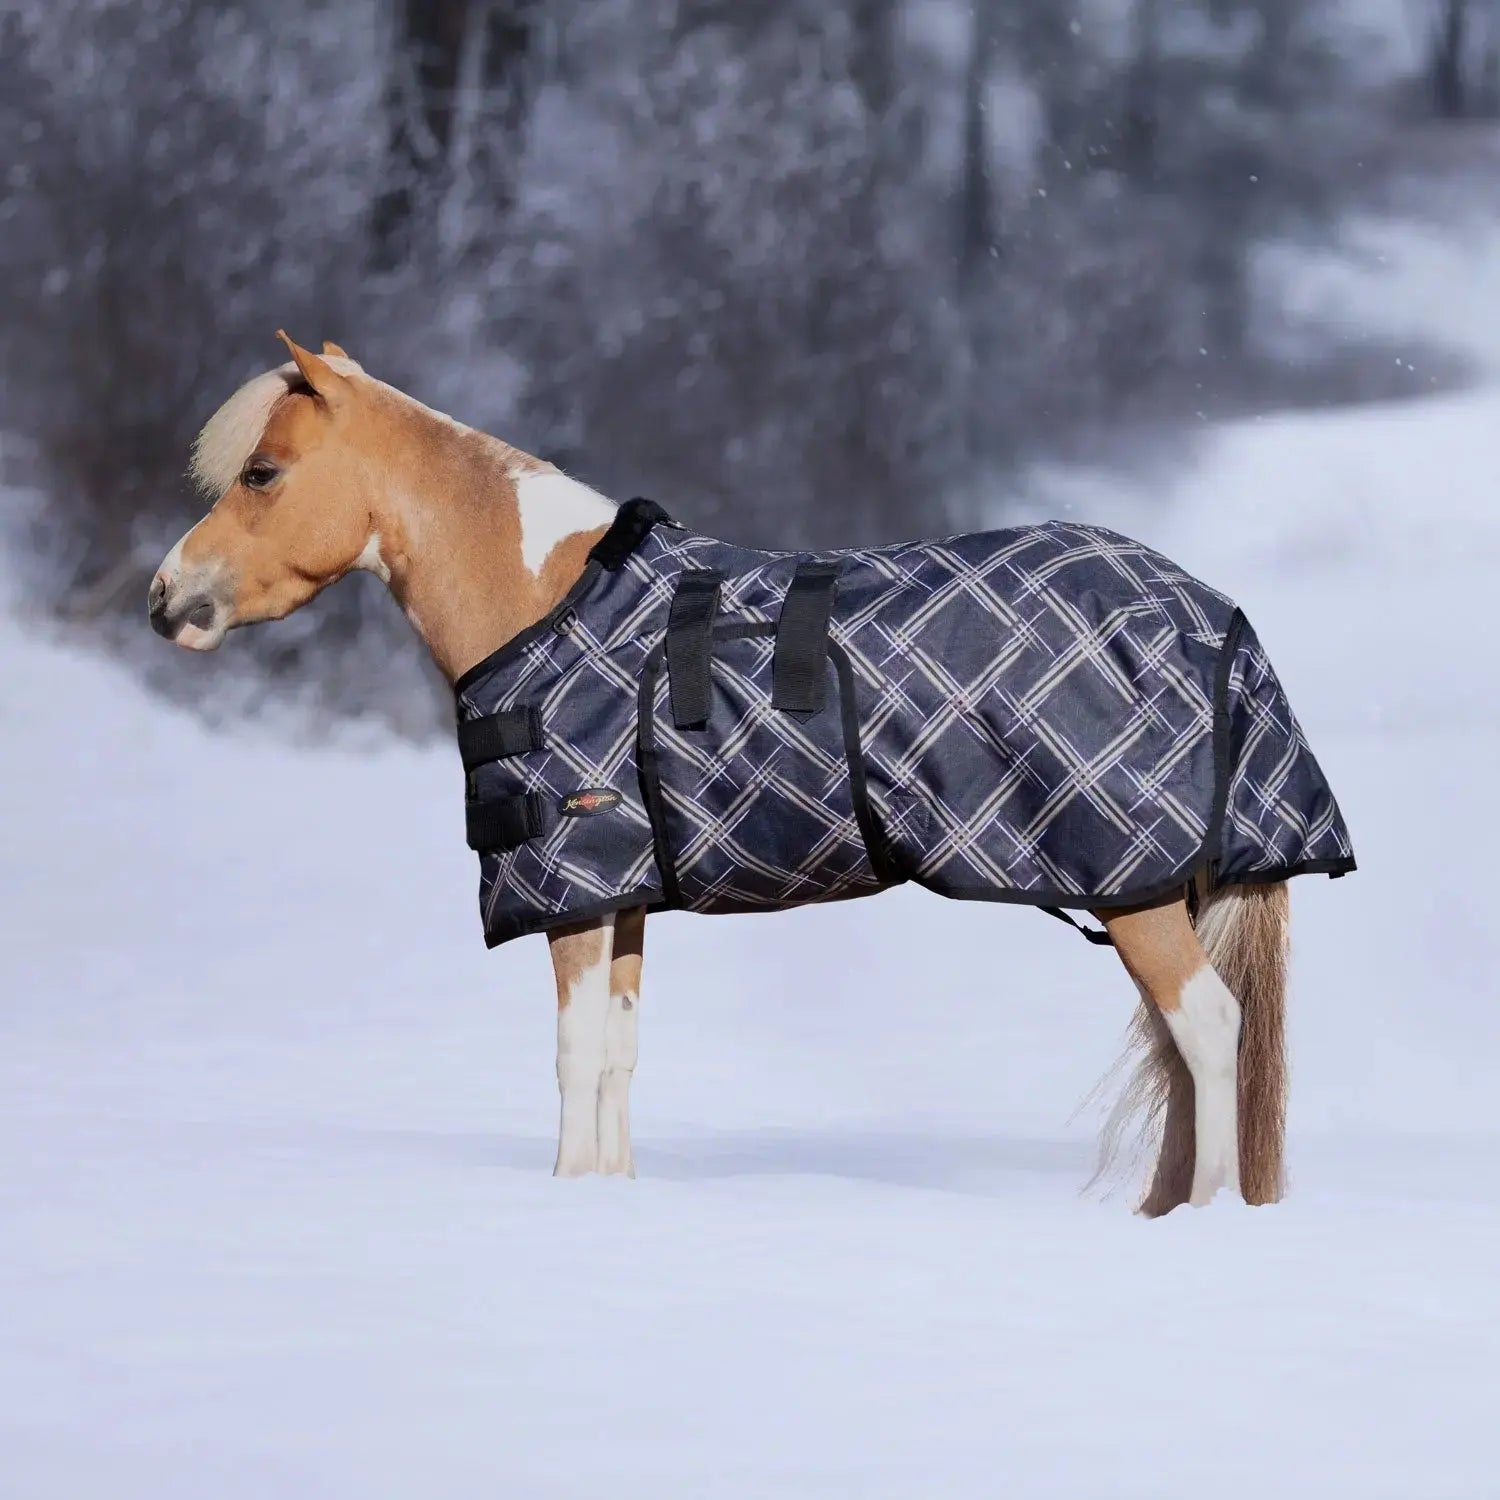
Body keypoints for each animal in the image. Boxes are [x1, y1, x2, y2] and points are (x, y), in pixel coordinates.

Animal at [148, 333, 1353, 1214]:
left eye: (262, 473)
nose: (165, 598)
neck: (548, 601)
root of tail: (1213, 616)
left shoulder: (574, 894)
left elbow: (574, 1054)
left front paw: (566, 1196)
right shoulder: (626, 897)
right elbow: (620, 1052)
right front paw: (611, 1199)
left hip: (1133, 889)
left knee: (1209, 1029)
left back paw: (1203, 1218)